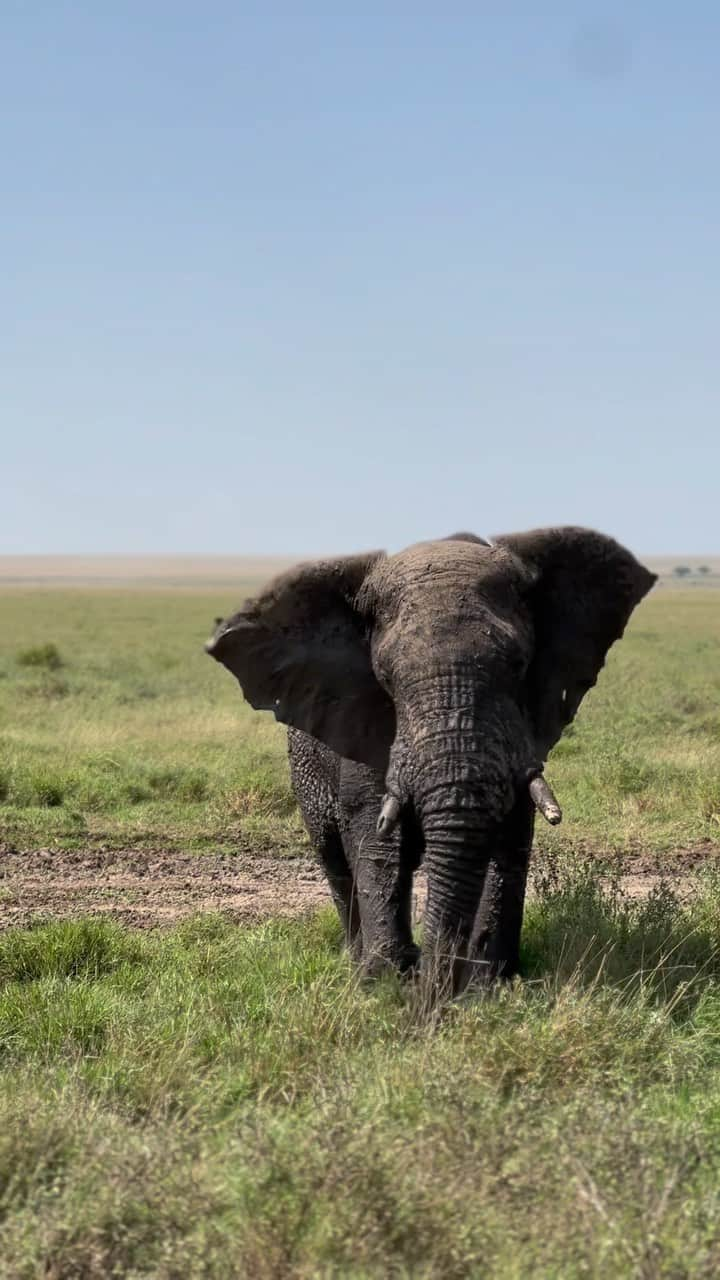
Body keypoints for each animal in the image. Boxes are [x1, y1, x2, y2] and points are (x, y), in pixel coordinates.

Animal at [204, 524, 653, 993]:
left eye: (518, 665)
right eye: (385, 677)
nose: (431, 986)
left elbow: (509, 833)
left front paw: (487, 985)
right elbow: (375, 834)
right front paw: (385, 984)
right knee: (333, 856)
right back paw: (357, 962)